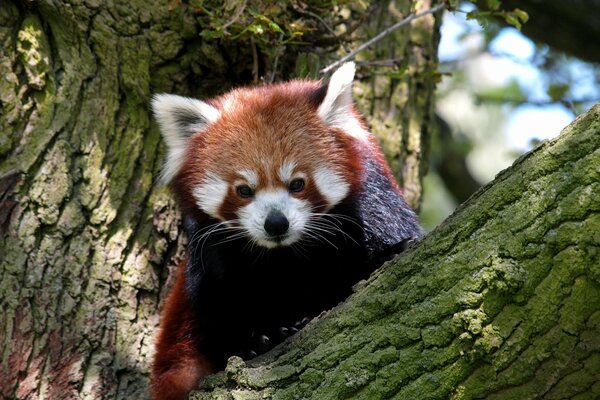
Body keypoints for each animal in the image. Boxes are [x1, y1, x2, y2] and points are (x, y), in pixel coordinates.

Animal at [150, 64, 422, 398]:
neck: (287, 256)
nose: (276, 223)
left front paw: (390, 253)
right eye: (244, 190)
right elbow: (221, 310)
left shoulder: (373, 207)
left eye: (297, 184)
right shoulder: (211, 256)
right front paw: (257, 339)